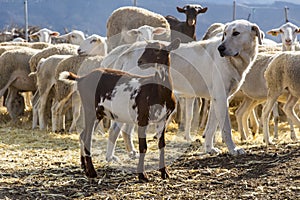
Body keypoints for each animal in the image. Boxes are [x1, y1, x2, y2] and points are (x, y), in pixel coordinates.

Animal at [59, 38, 179, 181]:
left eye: (157, 50)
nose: (140, 61)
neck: (157, 91)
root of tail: (82, 78)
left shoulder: (163, 119)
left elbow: (161, 145)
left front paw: (164, 173)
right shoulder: (142, 117)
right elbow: (143, 147)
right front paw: (142, 175)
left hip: (99, 112)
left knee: (83, 135)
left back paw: (85, 167)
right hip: (90, 108)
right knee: (87, 137)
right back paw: (92, 172)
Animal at [102, 19, 262, 156]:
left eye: (236, 33)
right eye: (225, 34)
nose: (220, 49)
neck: (235, 61)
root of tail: (127, 51)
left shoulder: (218, 99)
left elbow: (211, 128)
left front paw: (209, 149)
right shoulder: (221, 98)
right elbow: (226, 129)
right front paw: (233, 149)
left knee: (125, 130)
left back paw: (132, 153)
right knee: (115, 129)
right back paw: (112, 157)